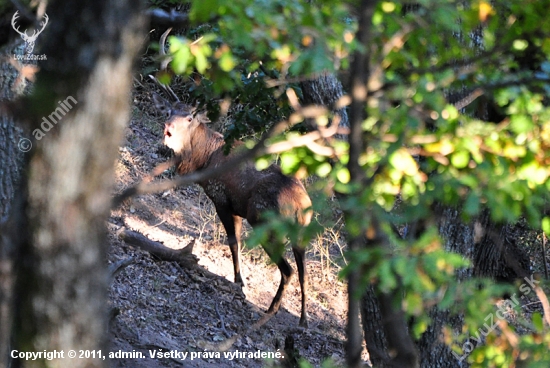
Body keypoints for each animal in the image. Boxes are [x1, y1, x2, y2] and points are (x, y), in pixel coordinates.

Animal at [153, 92, 314, 328]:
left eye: (189, 118)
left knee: (289, 270)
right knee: (303, 271)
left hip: (265, 223)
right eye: (168, 112)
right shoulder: (236, 208)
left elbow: (233, 242)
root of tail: (301, 208)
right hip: (301, 233)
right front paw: (240, 281)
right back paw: (303, 318)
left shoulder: (221, 199)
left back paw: (271, 310)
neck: (203, 160)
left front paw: (239, 281)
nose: (168, 128)